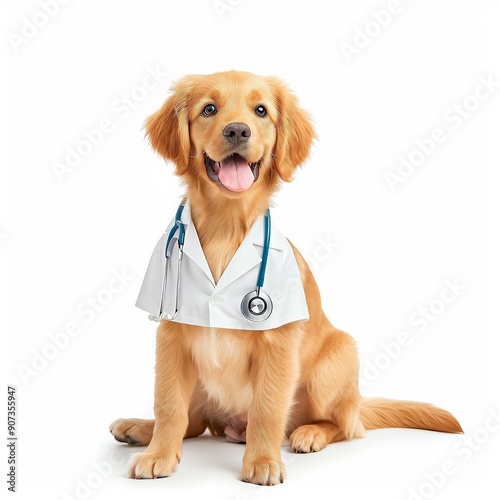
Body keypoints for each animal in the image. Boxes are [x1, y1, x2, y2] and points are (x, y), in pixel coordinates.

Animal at [111, 69, 462, 484]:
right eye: (209, 109)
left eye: (261, 110)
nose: (237, 131)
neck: (225, 227)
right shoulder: (171, 336)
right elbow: (168, 403)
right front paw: (159, 453)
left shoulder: (278, 344)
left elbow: (267, 408)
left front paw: (263, 462)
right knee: (193, 422)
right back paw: (139, 428)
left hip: (337, 360)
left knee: (346, 426)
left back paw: (310, 433)